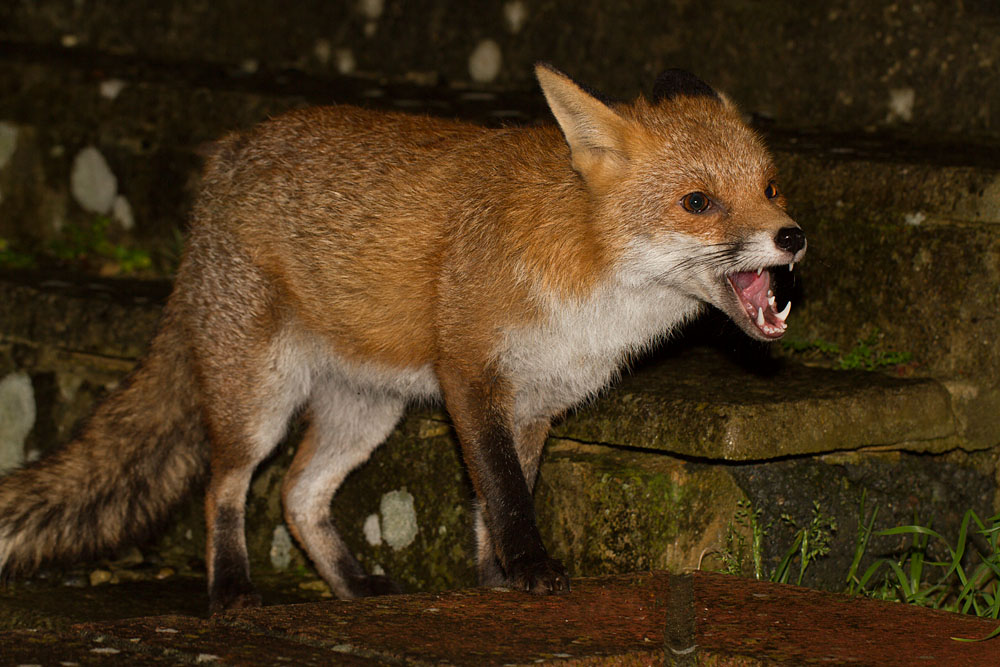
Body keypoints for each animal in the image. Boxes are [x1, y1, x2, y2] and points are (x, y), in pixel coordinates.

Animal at [0, 64, 804, 612]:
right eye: (697, 202)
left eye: (770, 187)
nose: (792, 237)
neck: (591, 277)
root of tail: (226, 156)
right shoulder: (471, 375)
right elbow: (506, 494)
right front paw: (531, 572)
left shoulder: (536, 402)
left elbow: (493, 502)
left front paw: (491, 584)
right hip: (260, 395)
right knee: (226, 483)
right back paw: (230, 589)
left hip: (366, 409)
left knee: (296, 494)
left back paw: (354, 587)